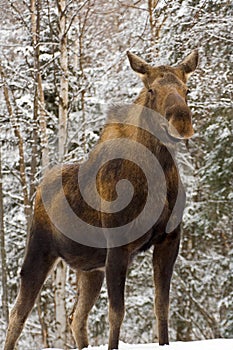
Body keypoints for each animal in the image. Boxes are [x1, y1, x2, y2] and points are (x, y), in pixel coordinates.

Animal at [4, 50, 198, 350]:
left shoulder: (169, 239)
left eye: (187, 89)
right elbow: (116, 312)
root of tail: (39, 187)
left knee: (76, 317)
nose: (181, 122)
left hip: (90, 268)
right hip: (40, 248)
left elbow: (161, 307)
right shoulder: (118, 246)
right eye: (151, 89)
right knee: (18, 313)